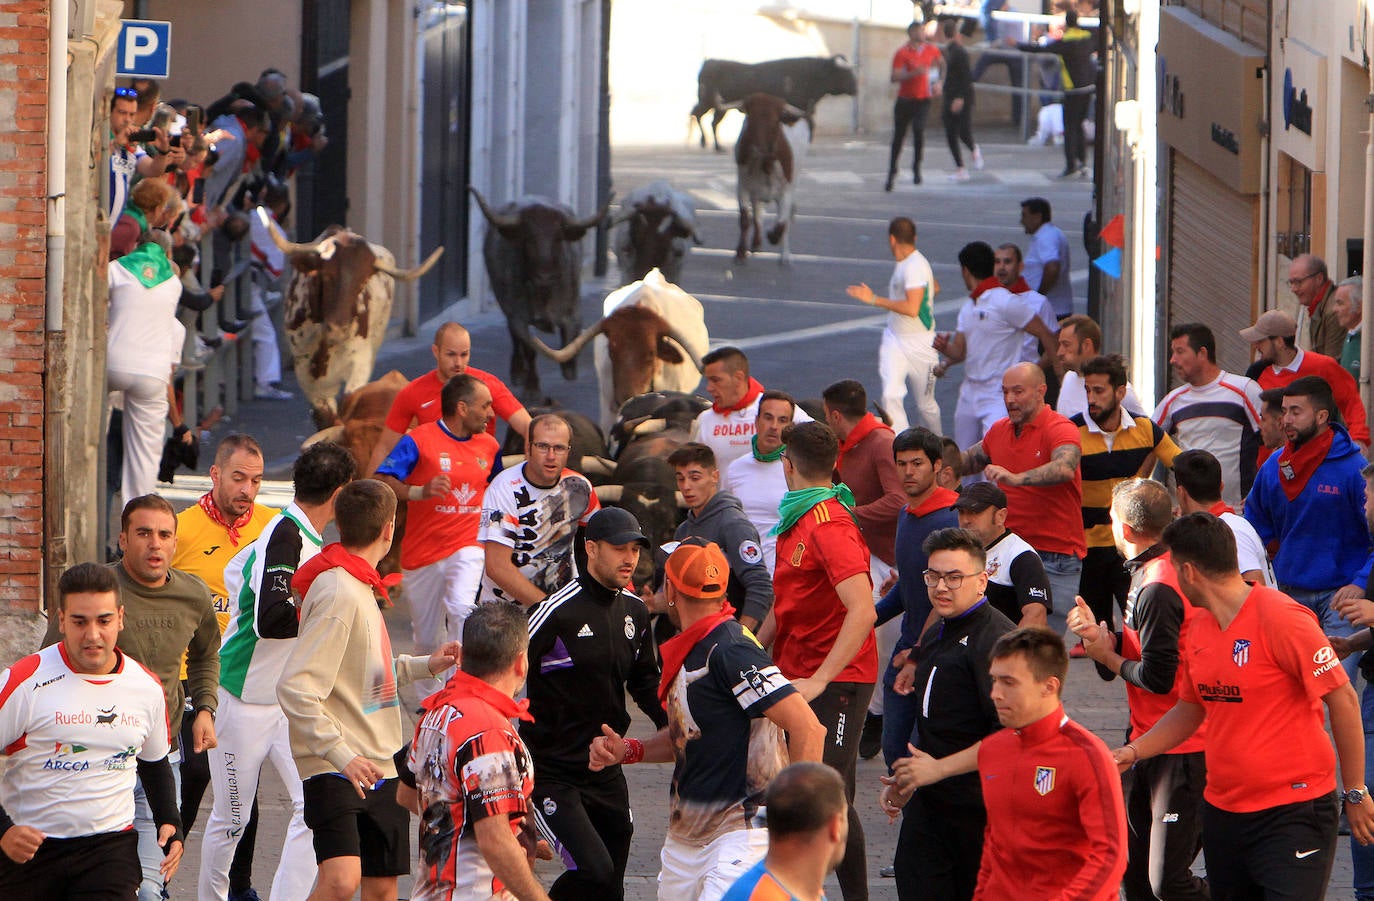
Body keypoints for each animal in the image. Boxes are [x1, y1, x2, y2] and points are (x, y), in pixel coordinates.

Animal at [262, 219, 439, 428]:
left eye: (362, 282)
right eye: (327, 275)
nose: (339, 330)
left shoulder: (360, 362)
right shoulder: (305, 371)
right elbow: (325, 417)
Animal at [469, 186, 610, 401]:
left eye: (558, 237)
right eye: (528, 238)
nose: (544, 275)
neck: (544, 294)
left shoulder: (572, 310)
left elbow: (571, 338)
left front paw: (569, 368)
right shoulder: (519, 316)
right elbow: (530, 348)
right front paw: (532, 388)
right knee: (515, 338)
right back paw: (518, 371)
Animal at [692, 54, 851, 151]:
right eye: (845, 73)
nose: (854, 88)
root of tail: (708, 62)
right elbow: (809, 124)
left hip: (716, 107)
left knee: (707, 119)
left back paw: (713, 145)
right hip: (708, 103)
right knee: (700, 116)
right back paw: (708, 143)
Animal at [736, 94, 807, 263]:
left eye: (776, 122)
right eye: (750, 119)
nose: (759, 149)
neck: (765, 163)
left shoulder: (786, 192)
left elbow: (782, 224)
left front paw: (773, 237)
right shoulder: (742, 187)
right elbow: (745, 220)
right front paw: (741, 252)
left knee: (784, 220)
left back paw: (785, 255)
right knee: (757, 213)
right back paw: (756, 243)